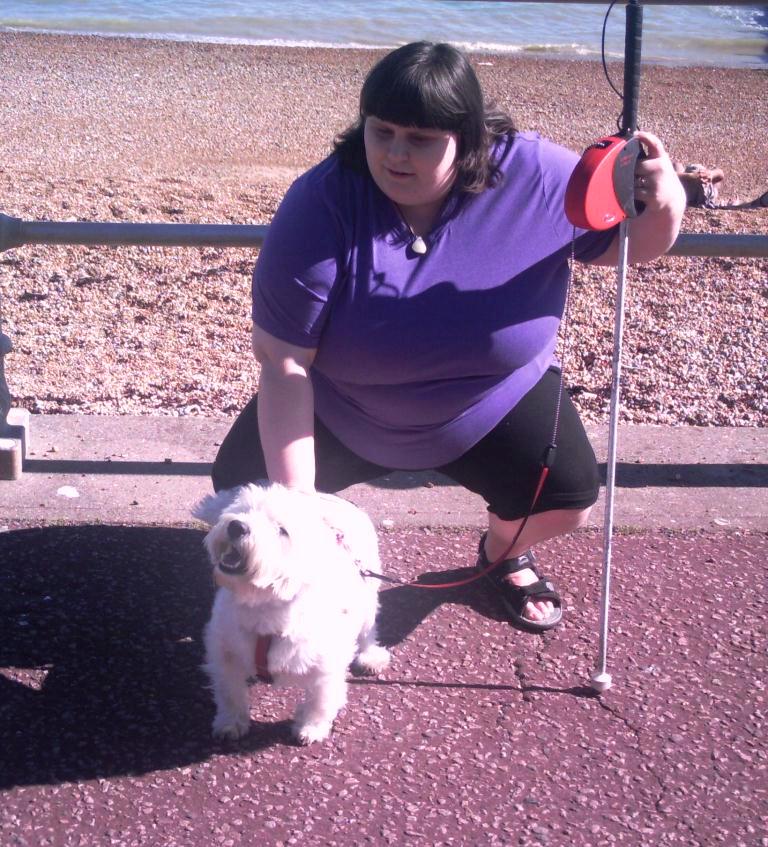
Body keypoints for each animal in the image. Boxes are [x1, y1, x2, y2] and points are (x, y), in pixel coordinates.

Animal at [192, 480, 390, 744]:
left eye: (282, 531)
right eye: (243, 509)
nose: (236, 526)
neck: (264, 605)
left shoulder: (327, 665)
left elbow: (321, 699)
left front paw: (311, 727)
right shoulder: (225, 654)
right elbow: (229, 692)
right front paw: (230, 723)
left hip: (368, 598)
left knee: (368, 632)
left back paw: (370, 657)